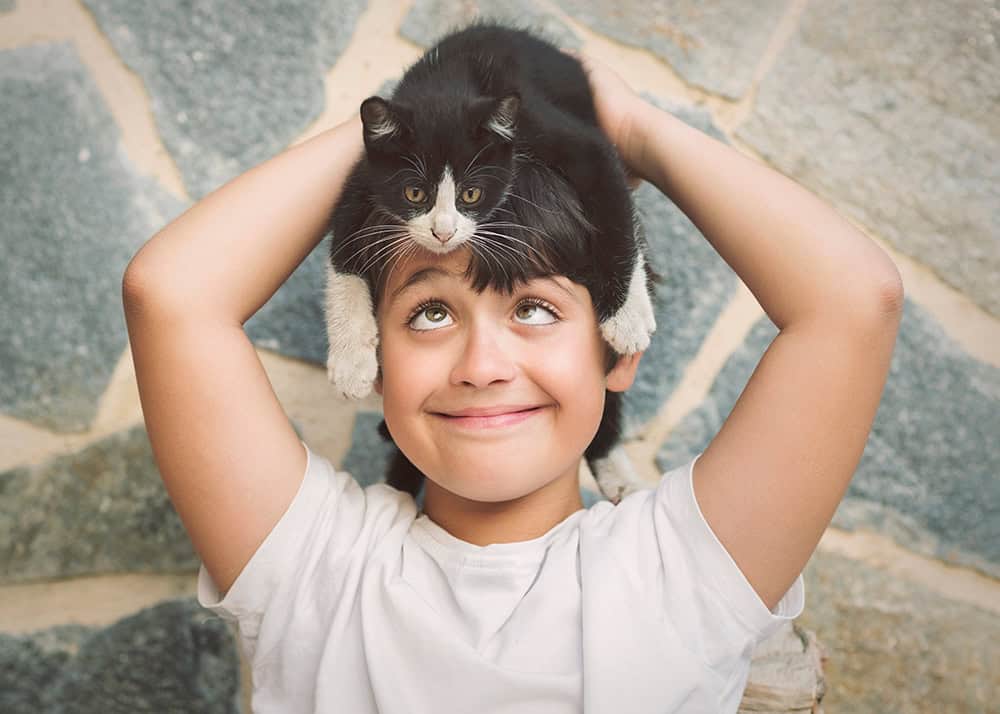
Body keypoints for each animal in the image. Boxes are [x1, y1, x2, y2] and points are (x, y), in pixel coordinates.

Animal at [324, 22, 660, 500]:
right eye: (415, 193)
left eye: (471, 194)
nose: (443, 232)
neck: (451, 82)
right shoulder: (366, 175)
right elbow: (344, 252)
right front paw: (351, 359)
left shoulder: (564, 137)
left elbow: (612, 204)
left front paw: (628, 316)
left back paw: (620, 477)